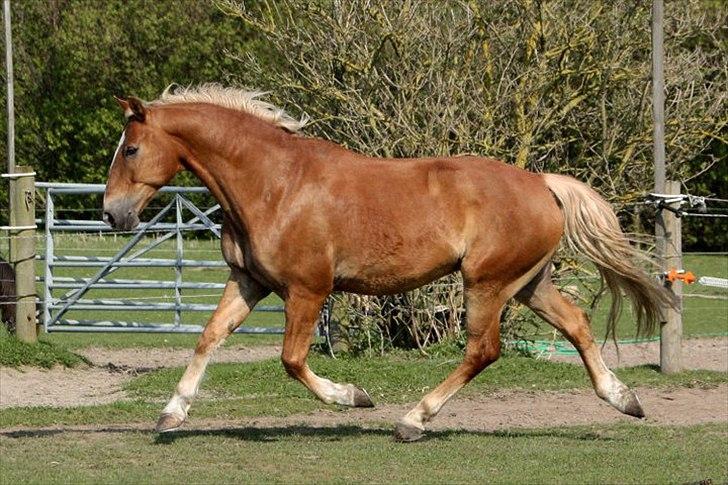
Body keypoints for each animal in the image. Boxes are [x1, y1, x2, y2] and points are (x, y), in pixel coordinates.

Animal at [102, 85, 672, 440]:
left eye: (130, 150)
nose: (112, 214)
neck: (275, 184)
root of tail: (541, 182)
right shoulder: (248, 282)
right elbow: (209, 337)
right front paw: (171, 414)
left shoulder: (308, 291)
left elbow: (292, 360)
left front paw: (354, 396)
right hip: (528, 283)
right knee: (576, 324)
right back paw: (623, 398)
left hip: (486, 283)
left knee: (482, 351)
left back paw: (412, 420)